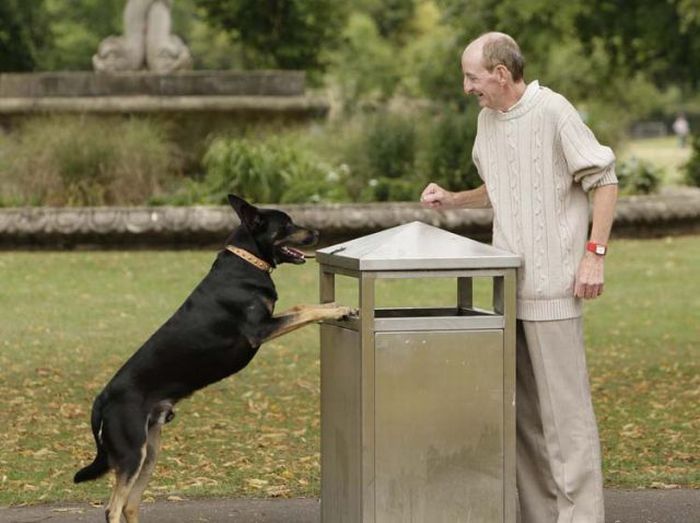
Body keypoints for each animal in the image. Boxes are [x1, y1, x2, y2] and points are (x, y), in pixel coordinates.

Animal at [75, 195, 356, 523]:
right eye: (286, 224)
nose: (318, 233)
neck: (247, 261)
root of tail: (102, 398)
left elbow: (302, 307)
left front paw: (337, 306)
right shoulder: (260, 330)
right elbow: (305, 310)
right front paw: (339, 309)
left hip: (149, 451)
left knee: (131, 504)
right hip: (132, 452)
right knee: (114, 508)